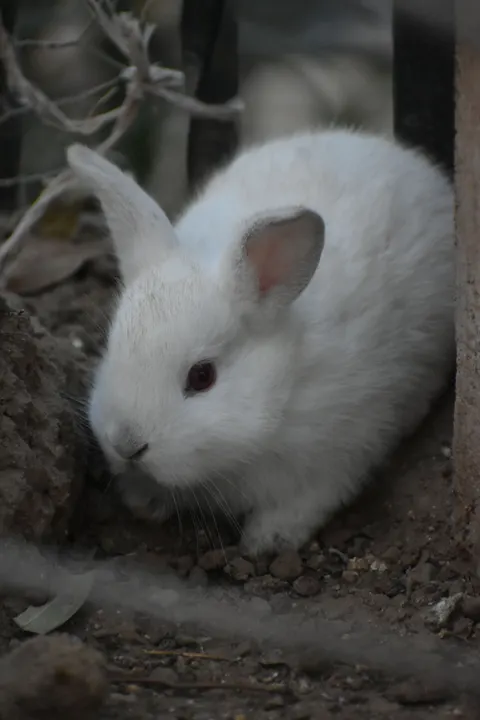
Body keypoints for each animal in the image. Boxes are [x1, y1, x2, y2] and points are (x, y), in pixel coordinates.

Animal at [66, 128, 455, 554]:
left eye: (202, 377)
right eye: (111, 346)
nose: (126, 443)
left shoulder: (342, 450)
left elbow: (310, 499)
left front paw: (266, 540)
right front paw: (144, 501)